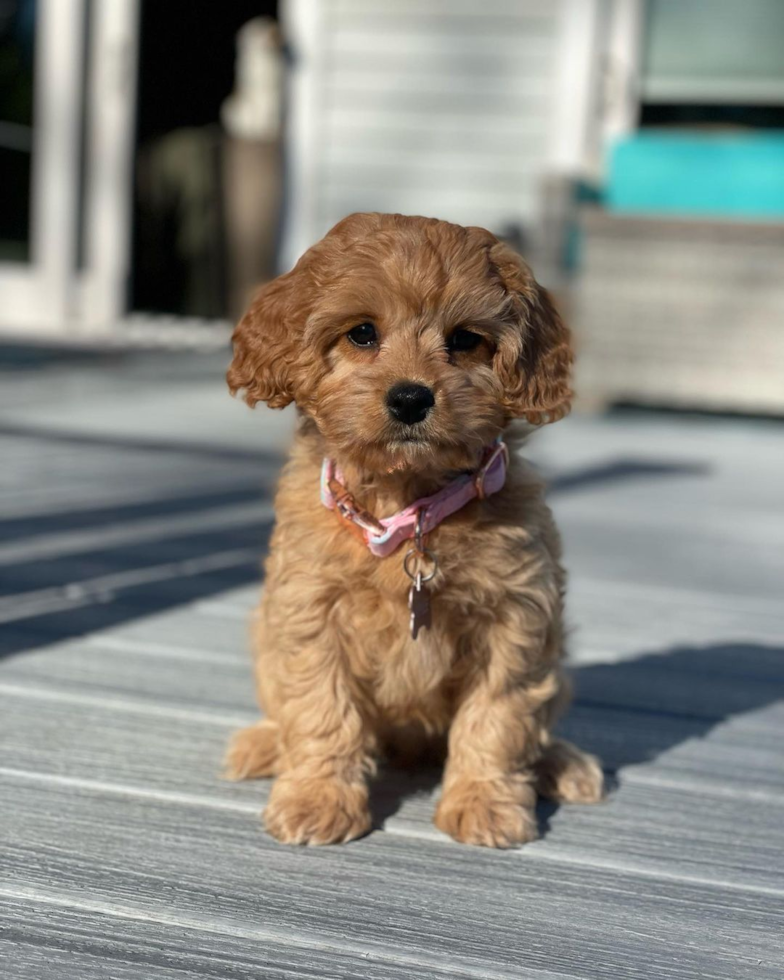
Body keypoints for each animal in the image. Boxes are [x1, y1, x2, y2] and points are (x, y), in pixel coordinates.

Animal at [224, 211, 604, 848]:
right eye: (361, 334)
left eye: (465, 340)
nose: (410, 398)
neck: (410, 506)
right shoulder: (309, 611)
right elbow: (322, 709)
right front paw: (316, 799)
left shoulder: (516, 616)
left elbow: (499, 715)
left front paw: (485, 803)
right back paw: (263, 744)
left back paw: (561, 764)